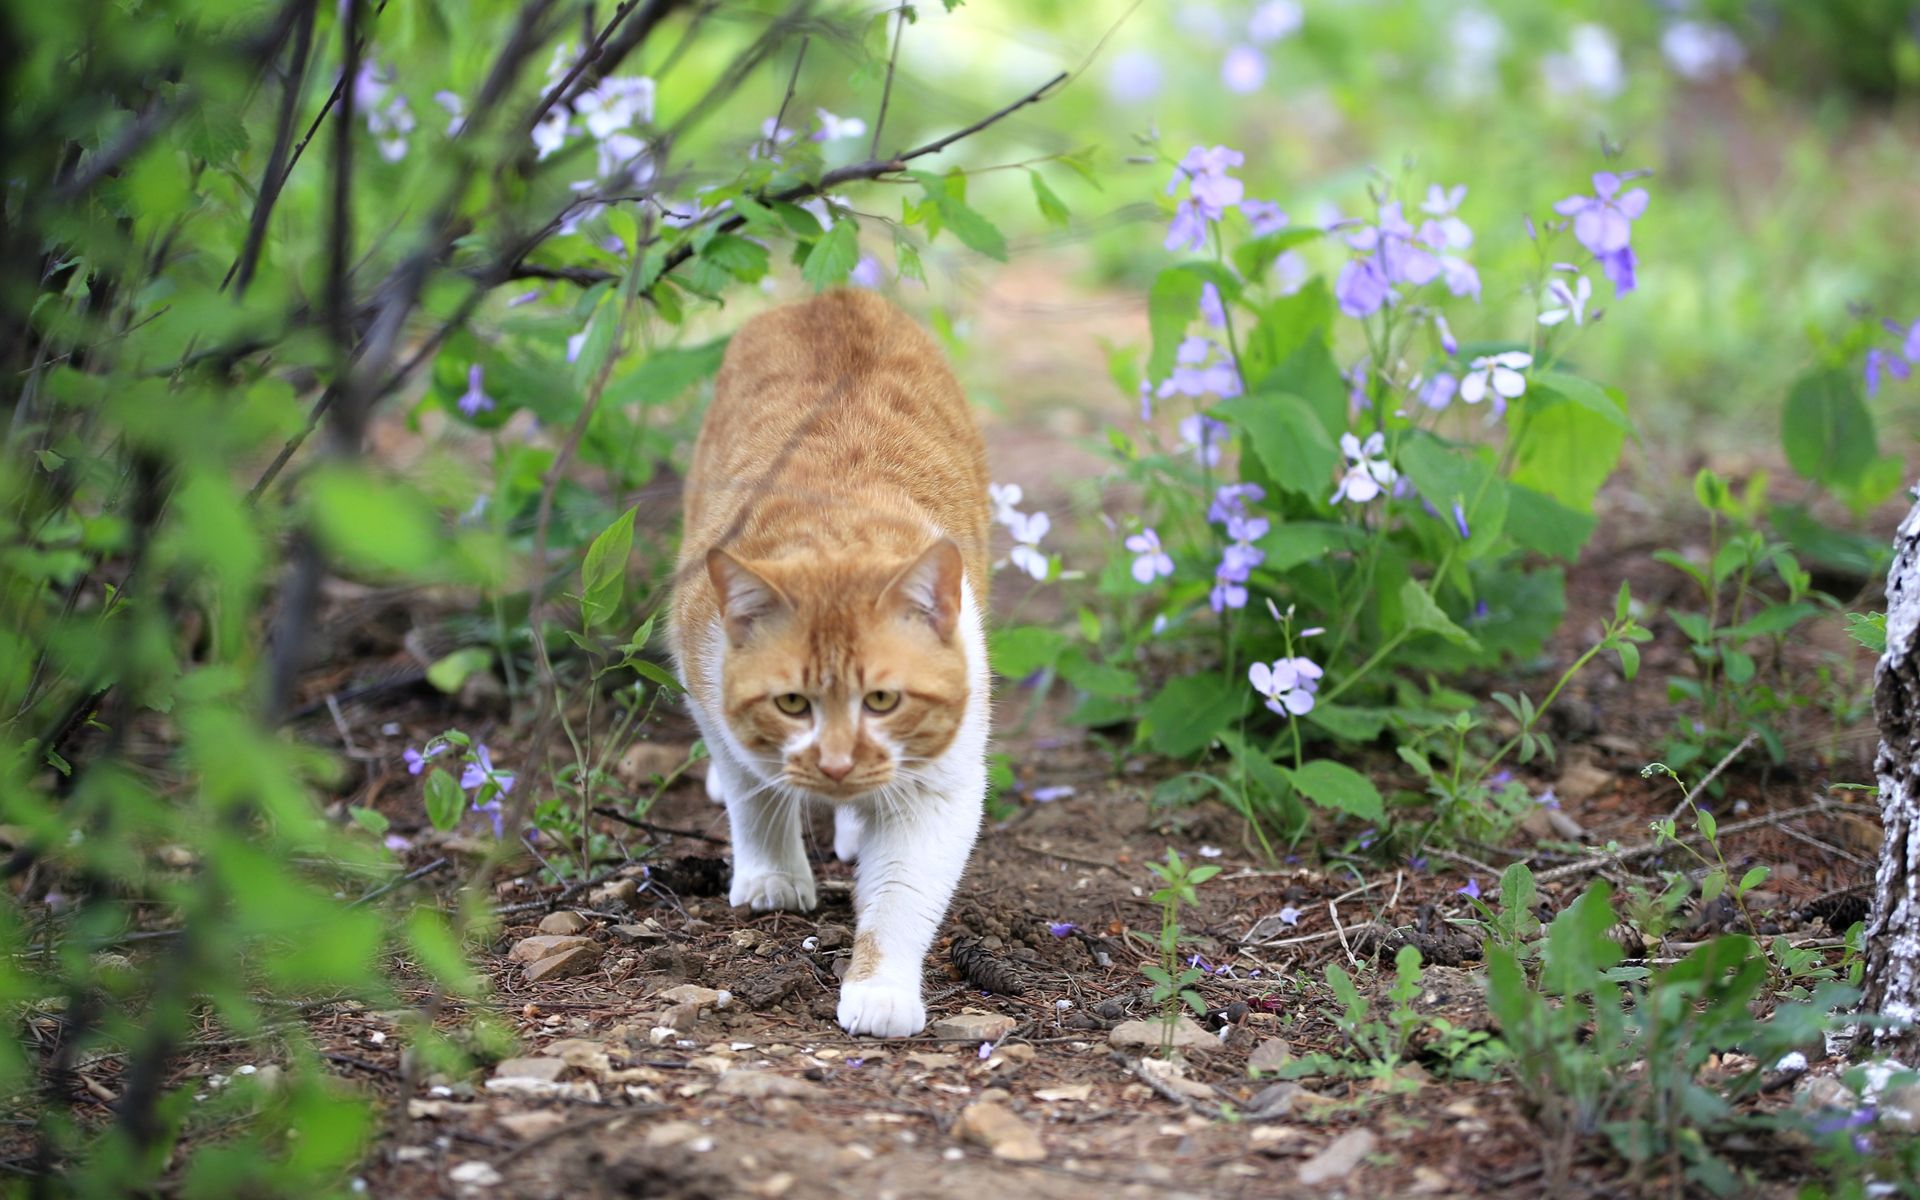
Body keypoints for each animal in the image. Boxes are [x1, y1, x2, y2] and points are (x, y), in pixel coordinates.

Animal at [668, 286, 990, 1036]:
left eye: (883, 700)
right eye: (792, 703)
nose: (838, 764)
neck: (838, 530)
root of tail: (833, 292)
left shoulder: (943, 787)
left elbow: (901, 896)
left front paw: (880, 990)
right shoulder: (706, 680)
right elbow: (756, 792)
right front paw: (773, 876)